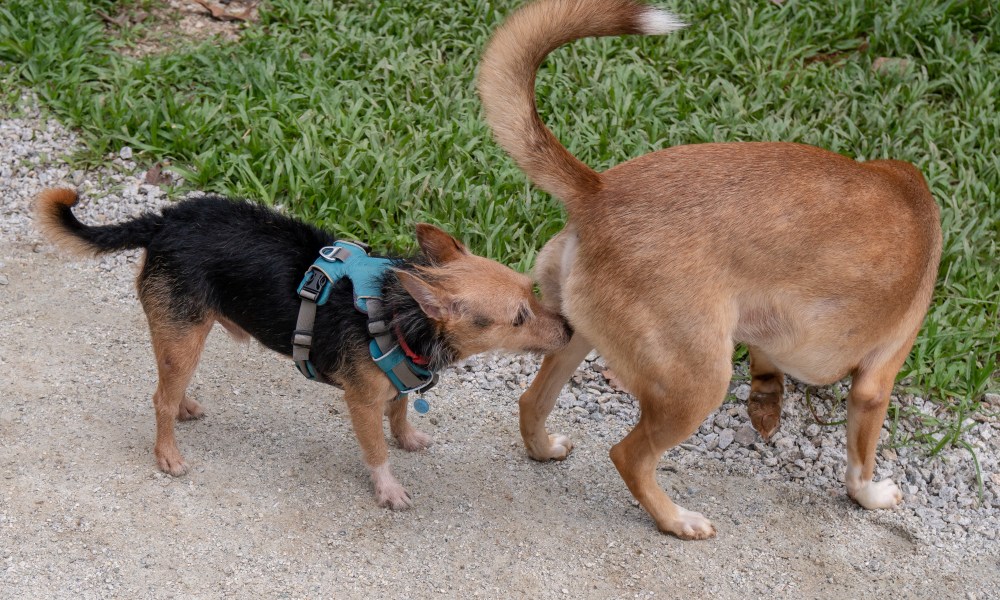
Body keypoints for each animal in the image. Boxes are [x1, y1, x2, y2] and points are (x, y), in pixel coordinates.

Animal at [35, 188, 572, 506]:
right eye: (519, 318)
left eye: (532, 291)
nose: (569, 328)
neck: (402, 312)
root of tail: (165, 218)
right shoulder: (361, 403)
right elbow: (376, 448)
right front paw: (388, 488)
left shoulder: (396, 385)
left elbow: (399, 411)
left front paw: (407, 437)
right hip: (182, 334)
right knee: (159, 398)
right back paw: (167, 454)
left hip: (182, 336)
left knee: (171, 385)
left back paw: (185, 404)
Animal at [476, 0, 936, 540]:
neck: (910, 193)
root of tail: (599, 192)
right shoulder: (876, 381)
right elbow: (859, 465)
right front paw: (870, 496)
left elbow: (768, 367)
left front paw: (766, 404)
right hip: (698, 383)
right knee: (629, 456)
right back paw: (676, 520)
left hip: (574, 336)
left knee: (532, 401)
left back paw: (544, 448)